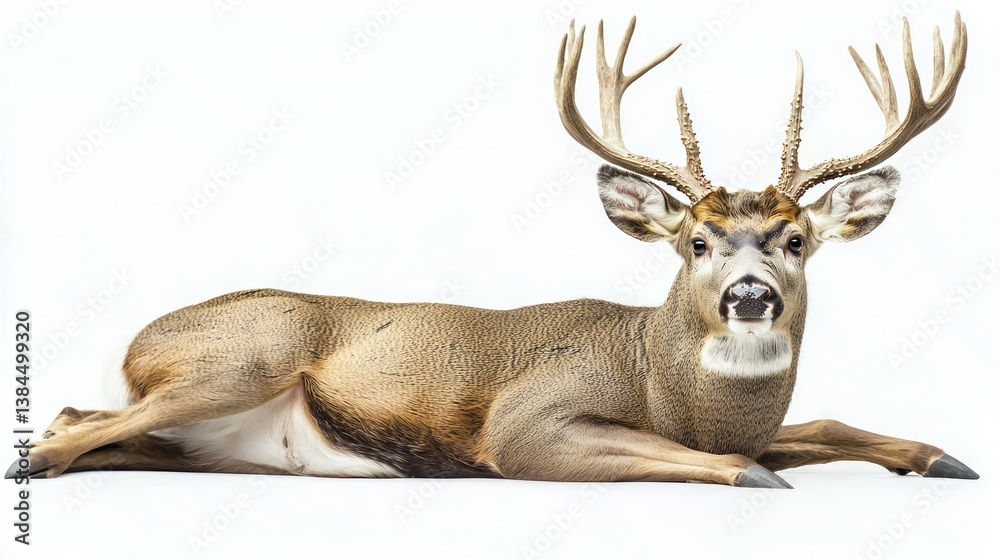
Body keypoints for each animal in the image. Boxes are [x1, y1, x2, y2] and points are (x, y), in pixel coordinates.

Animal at [8, 14, 977, 489]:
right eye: (695, 241)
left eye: (797, 241)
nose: (749, 296)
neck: (673, 390)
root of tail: (133, 342)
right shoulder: (527, 424)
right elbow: (736, 461)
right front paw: (765, 478)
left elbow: (820, 424)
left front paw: (944, 456)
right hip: (248, 353)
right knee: (69, 426)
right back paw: (37, 462)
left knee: (91, 423)